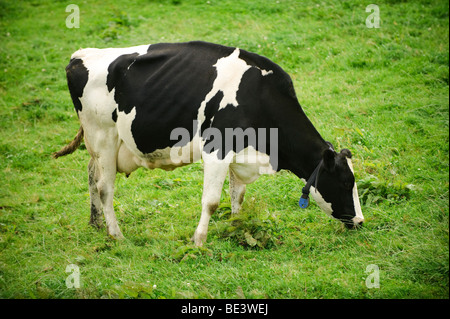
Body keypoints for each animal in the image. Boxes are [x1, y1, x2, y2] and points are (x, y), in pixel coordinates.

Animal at [55, 41, 366, 248]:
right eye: (345, 182)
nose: (360, 221)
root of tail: (81, 55)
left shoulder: (239, 153)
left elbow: (237, 196)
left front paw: (238, 227)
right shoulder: (217, 149)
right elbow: (212, 201)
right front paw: (199, 241)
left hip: (100, 145)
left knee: (91, 174)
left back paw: (96, 223)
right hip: (103, 137)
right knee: (105, 187)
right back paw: (116, 234)